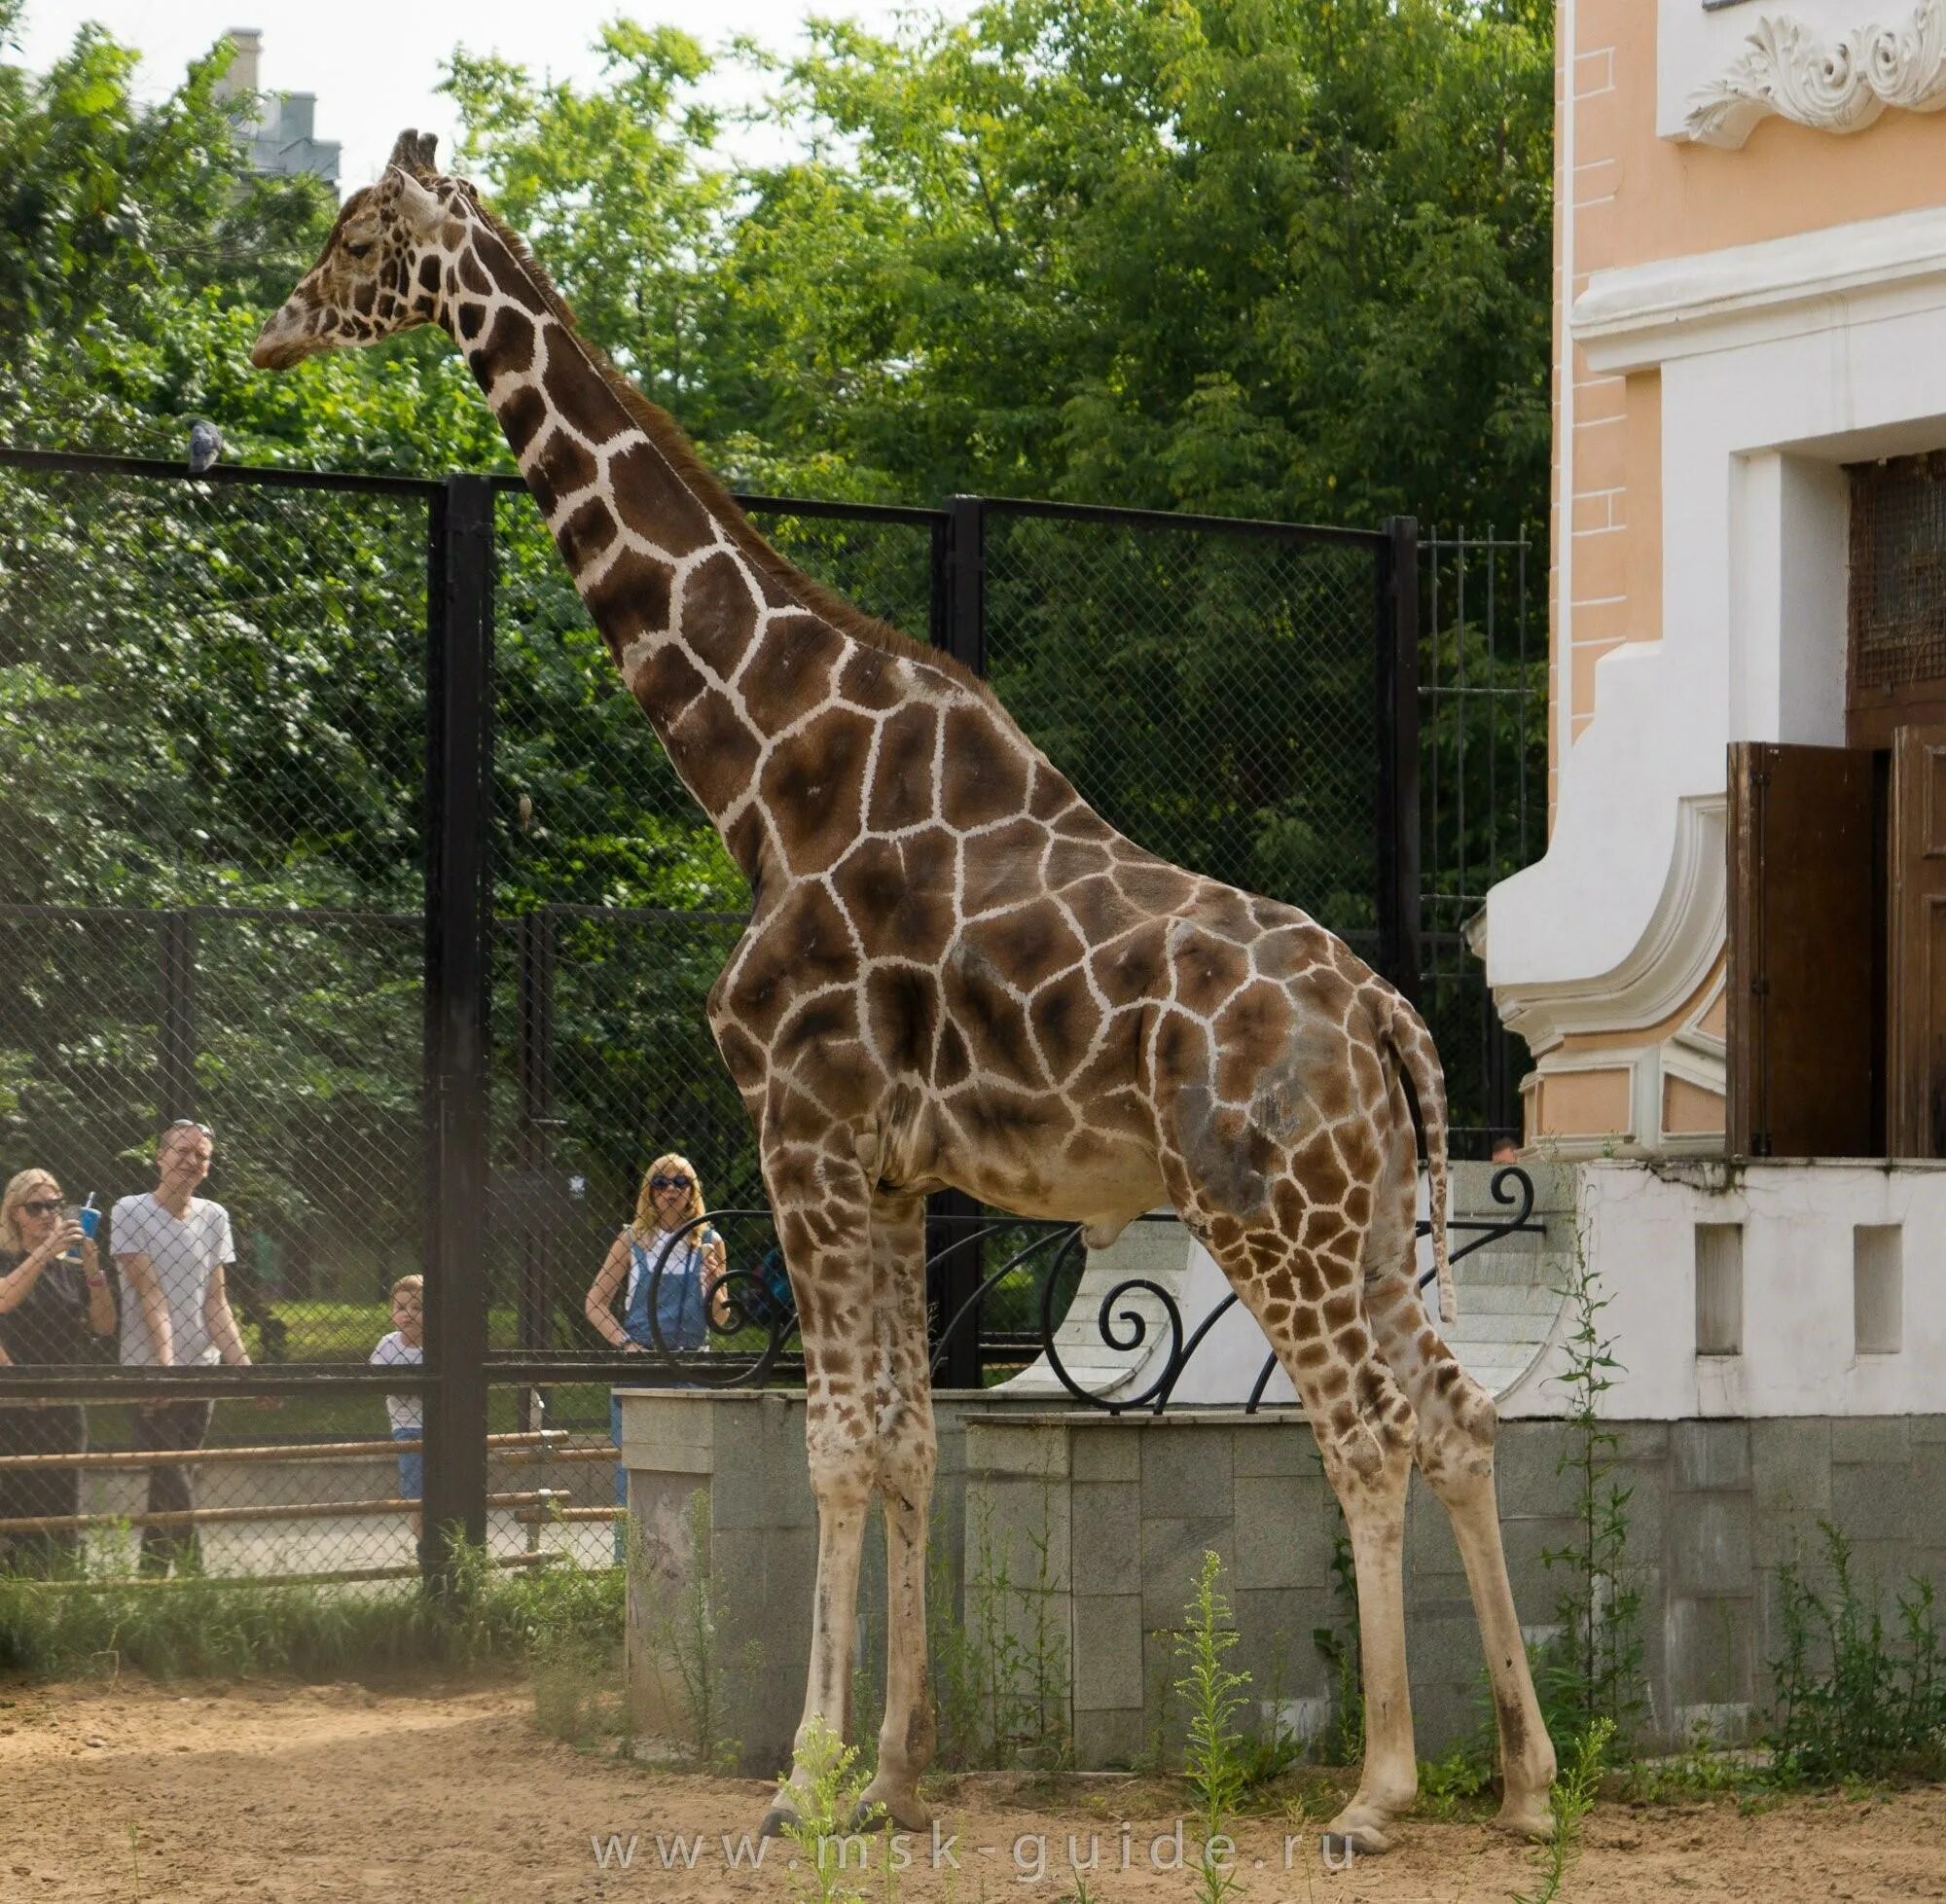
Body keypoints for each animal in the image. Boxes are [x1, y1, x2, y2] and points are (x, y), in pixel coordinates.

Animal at [255, 129, 1549, 1837]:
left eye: (356, 238)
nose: (270, 334)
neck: (765, 773)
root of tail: (1387, 1012)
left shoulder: (798, 1133)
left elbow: (840, 1444)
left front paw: (802, 1777)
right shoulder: (888, 1170)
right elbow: (913, 1441)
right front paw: (895, 1773)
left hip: (1270, 1208)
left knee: (1366, 1428)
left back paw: (1380, 1788)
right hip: (1376, 1208)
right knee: (1458, 1414)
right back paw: (1527, 1780)